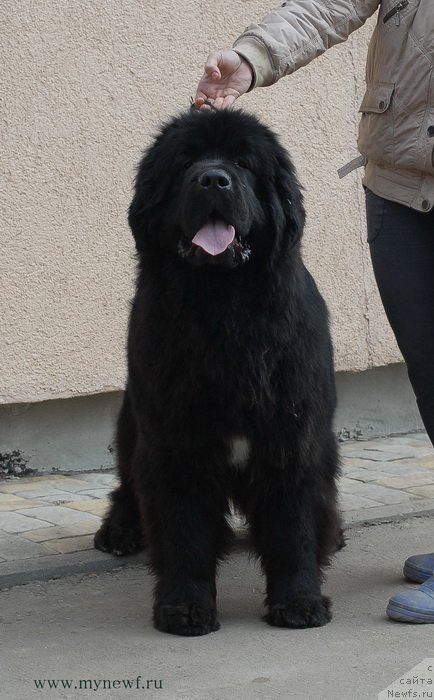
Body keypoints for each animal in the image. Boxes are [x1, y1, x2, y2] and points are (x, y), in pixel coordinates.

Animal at [96, 108, 342, 636]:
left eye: (244, 163)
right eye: (186, 162)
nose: (213, 179)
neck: (223, 309)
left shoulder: (289, 437)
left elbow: (292, 529)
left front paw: (299, 601)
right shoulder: (175, 443)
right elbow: (185, 534)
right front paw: (185, 608)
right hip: (131, 424)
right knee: (128, 484)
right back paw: (120, 530)